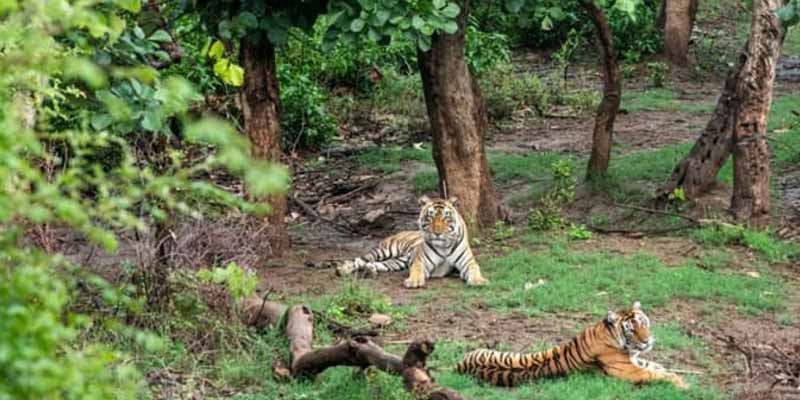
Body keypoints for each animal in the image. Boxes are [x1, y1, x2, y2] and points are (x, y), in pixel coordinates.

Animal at [332, 196, 484, 288]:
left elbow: (475, 269)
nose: (437, 233)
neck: (444, 246)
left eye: (446, 218)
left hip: (398, 261)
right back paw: (343, 269)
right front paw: (414, 281)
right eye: (430, 217)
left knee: (377, 264)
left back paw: (369, 270)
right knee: (360, 259)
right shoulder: (420, 261)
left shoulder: (468, 262)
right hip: (385, 250)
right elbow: (416, 269)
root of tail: (400, 231)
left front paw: (479, 280)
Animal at [460, 302, 692, 390]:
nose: (647, 341)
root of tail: (459, 366)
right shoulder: (629, 370)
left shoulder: (636, 360)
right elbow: (658, 374)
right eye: (631, 329)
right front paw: (683, 384)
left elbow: (658, 367)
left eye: (643, 323)